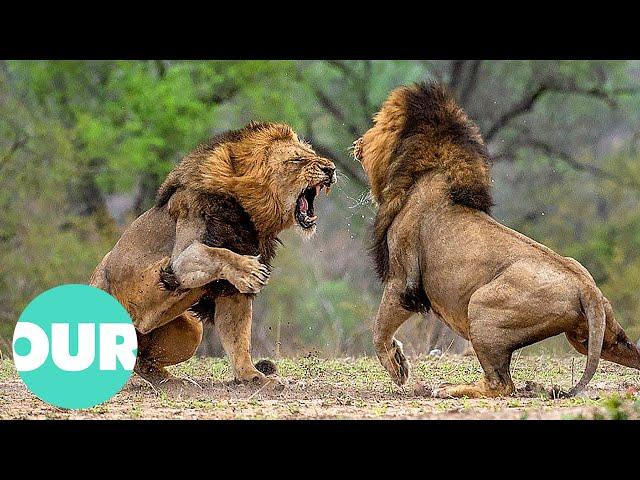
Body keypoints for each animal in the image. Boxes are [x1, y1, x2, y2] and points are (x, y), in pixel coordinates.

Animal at [93, 122, 340, 388]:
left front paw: (253, 377)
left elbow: (238, 338)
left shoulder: (231, 293)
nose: (331, 168)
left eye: (311, 154)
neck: (252, 216)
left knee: (141, 360)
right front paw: (250, 270)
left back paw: (173, 383)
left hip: (193, 330)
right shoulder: (179, 260)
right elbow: (216, 253)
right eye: (296, 159)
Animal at [356, 82, 640, 398]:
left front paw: (398, 369)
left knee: (501, 385)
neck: (428, 172)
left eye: (376, 123)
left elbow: (379, 331)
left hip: (481, 307)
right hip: (594, 336)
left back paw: (449, 389)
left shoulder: (403, 281)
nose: (357, 144)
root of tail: (586, 287)